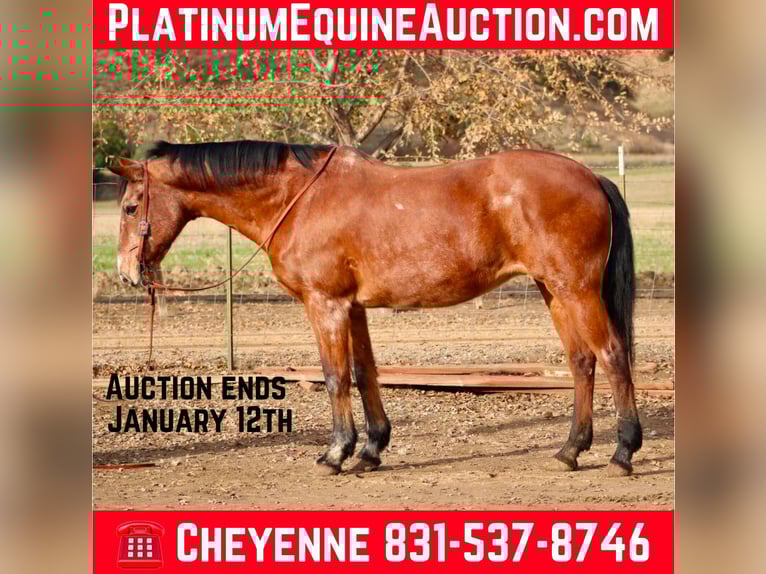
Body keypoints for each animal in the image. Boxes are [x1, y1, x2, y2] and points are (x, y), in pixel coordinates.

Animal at [110, 139, 641, 477]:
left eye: (131, 208)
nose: (127, 273)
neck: (300, 198)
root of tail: (591, 176)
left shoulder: (325, 305)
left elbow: (334, 377)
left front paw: (335, 454)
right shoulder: (354, 307)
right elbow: (365, 373)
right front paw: (371, 450)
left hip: (576, 289)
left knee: (613, 356)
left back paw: (623, 451)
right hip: (554, 291)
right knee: (582, 362)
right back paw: (571, 450)